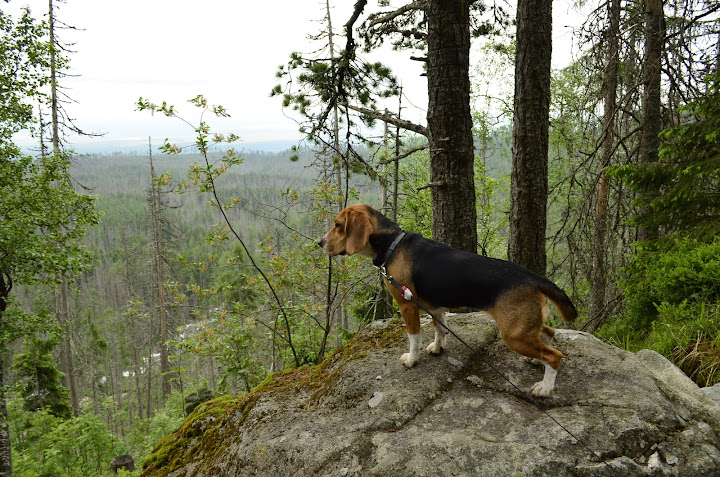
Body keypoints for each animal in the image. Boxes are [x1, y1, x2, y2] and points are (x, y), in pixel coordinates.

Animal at [318, 203, 576, 396]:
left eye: (338, 225)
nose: (319, 243)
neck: (392, 244)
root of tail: (533, 278)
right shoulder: (435, 307)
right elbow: (440, 328)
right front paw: (437, 348)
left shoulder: (407, 305)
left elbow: (414, 338)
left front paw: (412, 360)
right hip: (524, 328)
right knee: (549, 333)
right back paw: (538, 363)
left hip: (514, 335)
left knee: (555, 355)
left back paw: (545, 387)